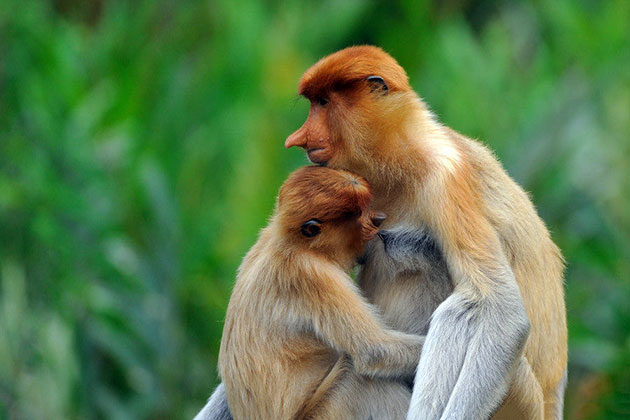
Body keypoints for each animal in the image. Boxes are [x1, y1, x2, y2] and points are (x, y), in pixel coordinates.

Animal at [212, 166, 424, 418]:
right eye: (360, 214)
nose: (378, 219)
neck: (296, 244)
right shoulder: (315, 276)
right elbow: (375, 350)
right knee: (358, 378)